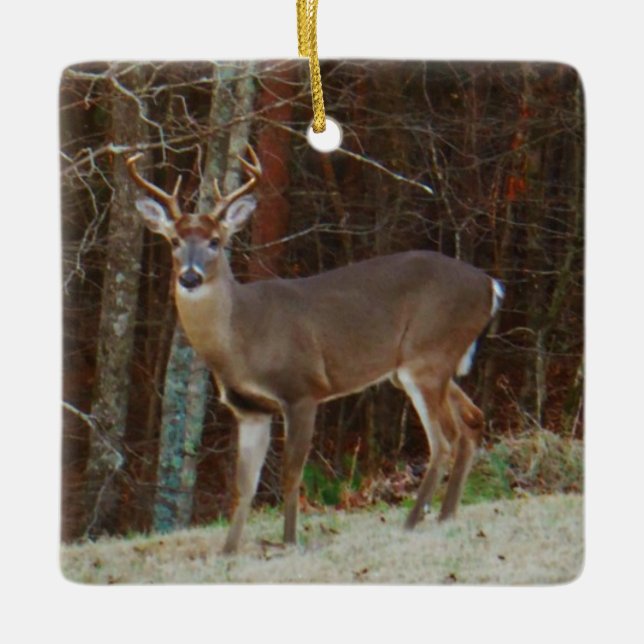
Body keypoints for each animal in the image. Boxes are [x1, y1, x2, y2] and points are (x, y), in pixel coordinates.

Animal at [127, 146, 504, 554]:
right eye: (174, 241)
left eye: (215, 241)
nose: (190, 277)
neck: (242, 339)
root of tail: (490, 285)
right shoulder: (250, 409)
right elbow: (244, 486)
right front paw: (228, 551)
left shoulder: (302, 390)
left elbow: (291, 474)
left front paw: (289, 541)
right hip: (427, 365)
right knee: (472, 421)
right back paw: (445, 515)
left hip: (426, 357)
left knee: (444, 440)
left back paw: (411, 521)